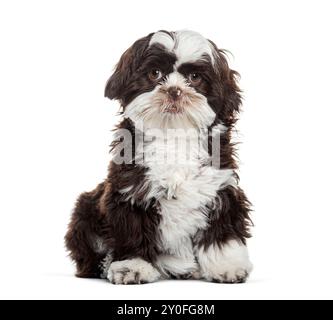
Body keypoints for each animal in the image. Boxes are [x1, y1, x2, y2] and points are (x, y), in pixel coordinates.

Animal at [64, 30, 252, 284]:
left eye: (194, 77)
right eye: (155, 74)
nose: (174, 91)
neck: (172, 136)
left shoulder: (221, 188)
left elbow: (222, 231)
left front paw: (227, 265)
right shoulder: (129, 191)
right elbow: (132, 231)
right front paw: (133, 265)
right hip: (85, 211)